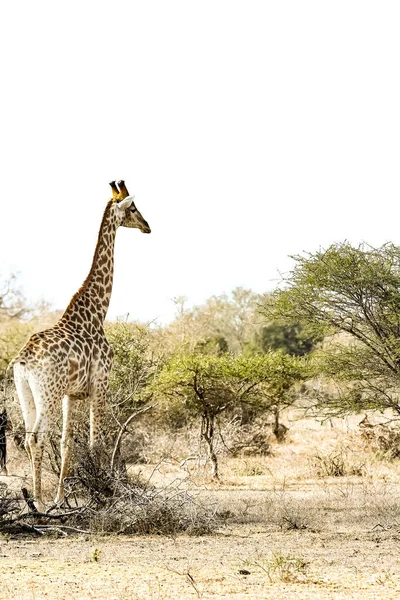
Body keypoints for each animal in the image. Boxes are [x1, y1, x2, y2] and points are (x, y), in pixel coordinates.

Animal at [11, 180, 152, 508]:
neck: (96, 313)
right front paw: (101, 494)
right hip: (47, 393)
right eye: (134, 208)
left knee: (28, 438)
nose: (148, 226)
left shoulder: (71, 395)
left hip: (27, 393)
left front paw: (62, 498)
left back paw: (37, 500)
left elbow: (67, 443)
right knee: (36, 437)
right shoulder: (101, 383)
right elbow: (94, 441)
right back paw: (37, 503)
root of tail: (23, 361)